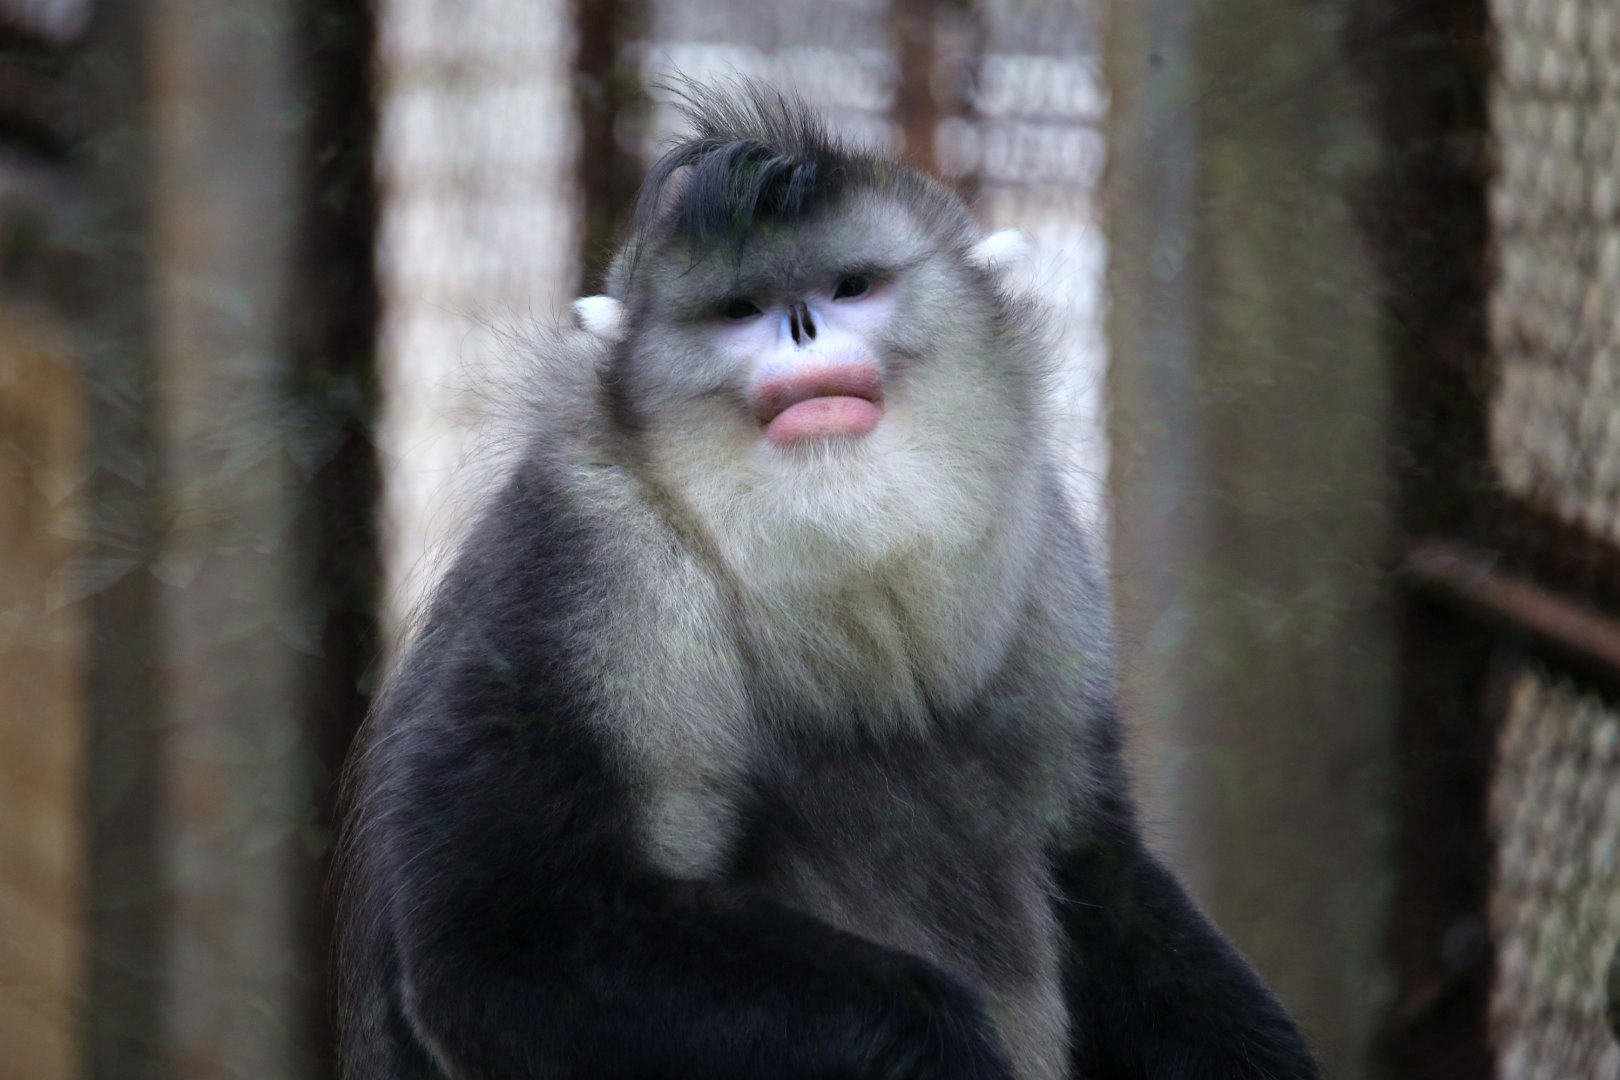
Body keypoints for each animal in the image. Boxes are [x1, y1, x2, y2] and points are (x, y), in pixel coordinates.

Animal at [335, 82, 1320, 1080]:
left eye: (850, 287)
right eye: (742, 309)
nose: (802, 328)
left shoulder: (1047, 548)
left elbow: (1093, 860)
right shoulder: (583, 565)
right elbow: (503, 941)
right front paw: (938, 1037)